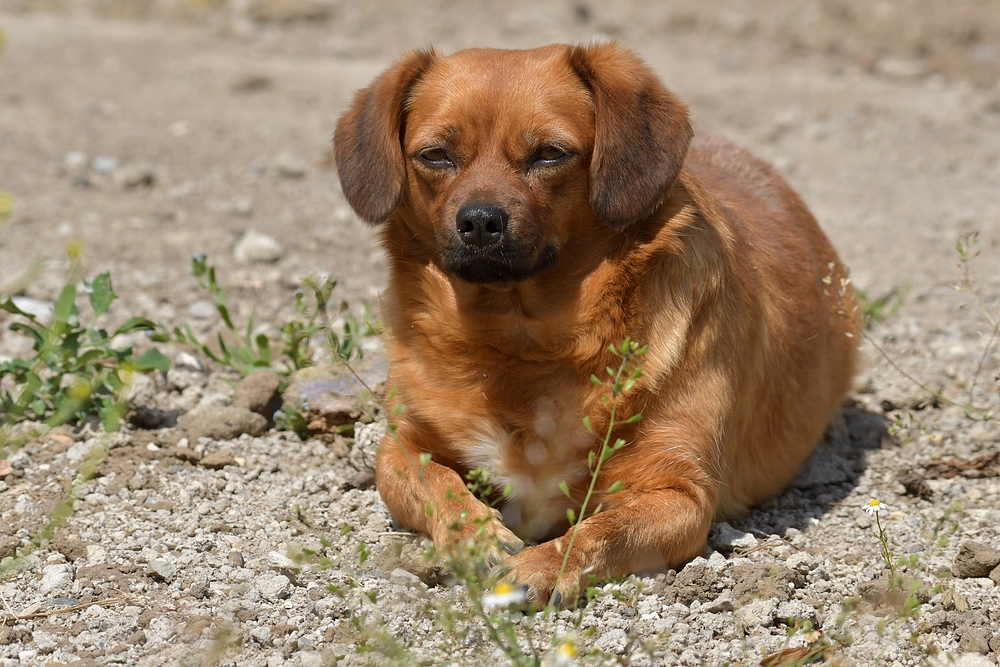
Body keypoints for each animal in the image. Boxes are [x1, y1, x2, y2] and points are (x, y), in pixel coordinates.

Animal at [332, 43, 856, 604]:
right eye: (435, 155)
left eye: (550, 154)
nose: (479, 221)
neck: (518, 341)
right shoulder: (399, 447)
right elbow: (436, 483)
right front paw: (474, 537)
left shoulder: (682, 495)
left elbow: (603, 529)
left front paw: (543, 565)